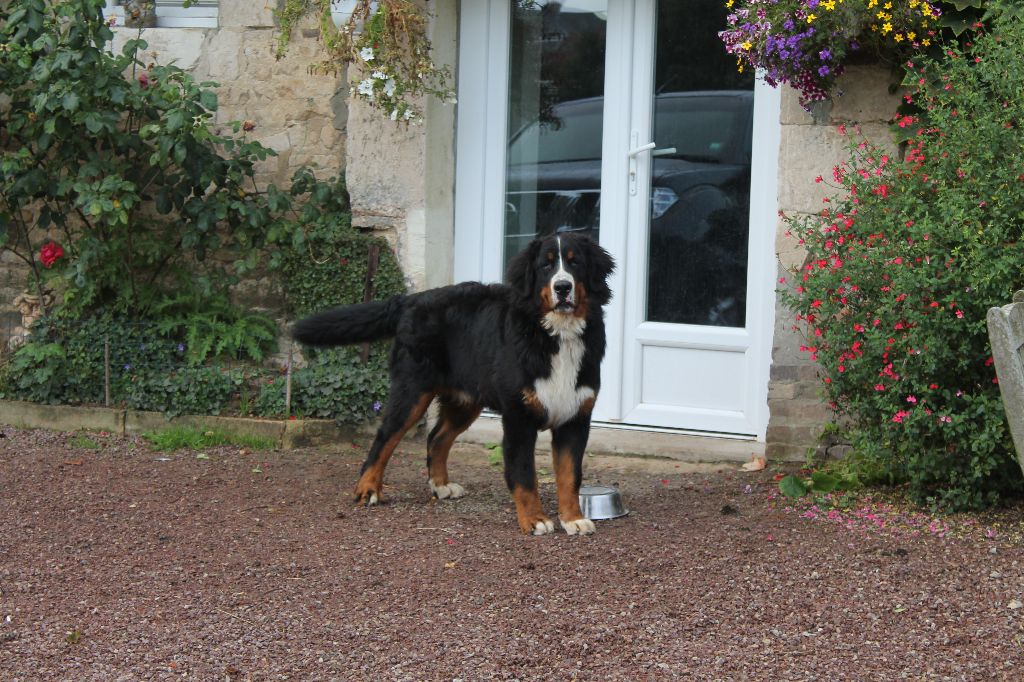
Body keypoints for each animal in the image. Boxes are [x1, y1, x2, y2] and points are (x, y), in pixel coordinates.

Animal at [296, 233, 614, 536]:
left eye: (575, 263)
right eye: (546, 265)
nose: (562, 287)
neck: (556, 335)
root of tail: (412, 299)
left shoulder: (575, 417)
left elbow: (570, 476)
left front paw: (573, 519)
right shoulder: (518, 417)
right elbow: (524, 475)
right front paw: (534, 520)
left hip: (465, 400)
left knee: (436, 438)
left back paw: (440, 485)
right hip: (412, 392)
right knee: (384, 438)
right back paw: (368, 488)